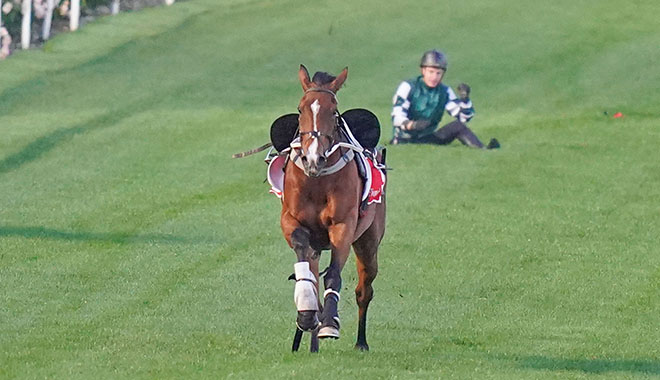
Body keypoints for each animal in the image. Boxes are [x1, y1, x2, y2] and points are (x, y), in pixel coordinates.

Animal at [280, 64, 386, 350]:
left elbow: (334, 276)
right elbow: (304, 259)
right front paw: (306, 312)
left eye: (334, 110)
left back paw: (361, 342)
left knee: (364, 290)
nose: (313, 157)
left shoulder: (343, 226)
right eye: (300, 108)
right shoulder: (291, 221)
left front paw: (329, 324)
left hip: (369, 241)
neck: (317, 180)